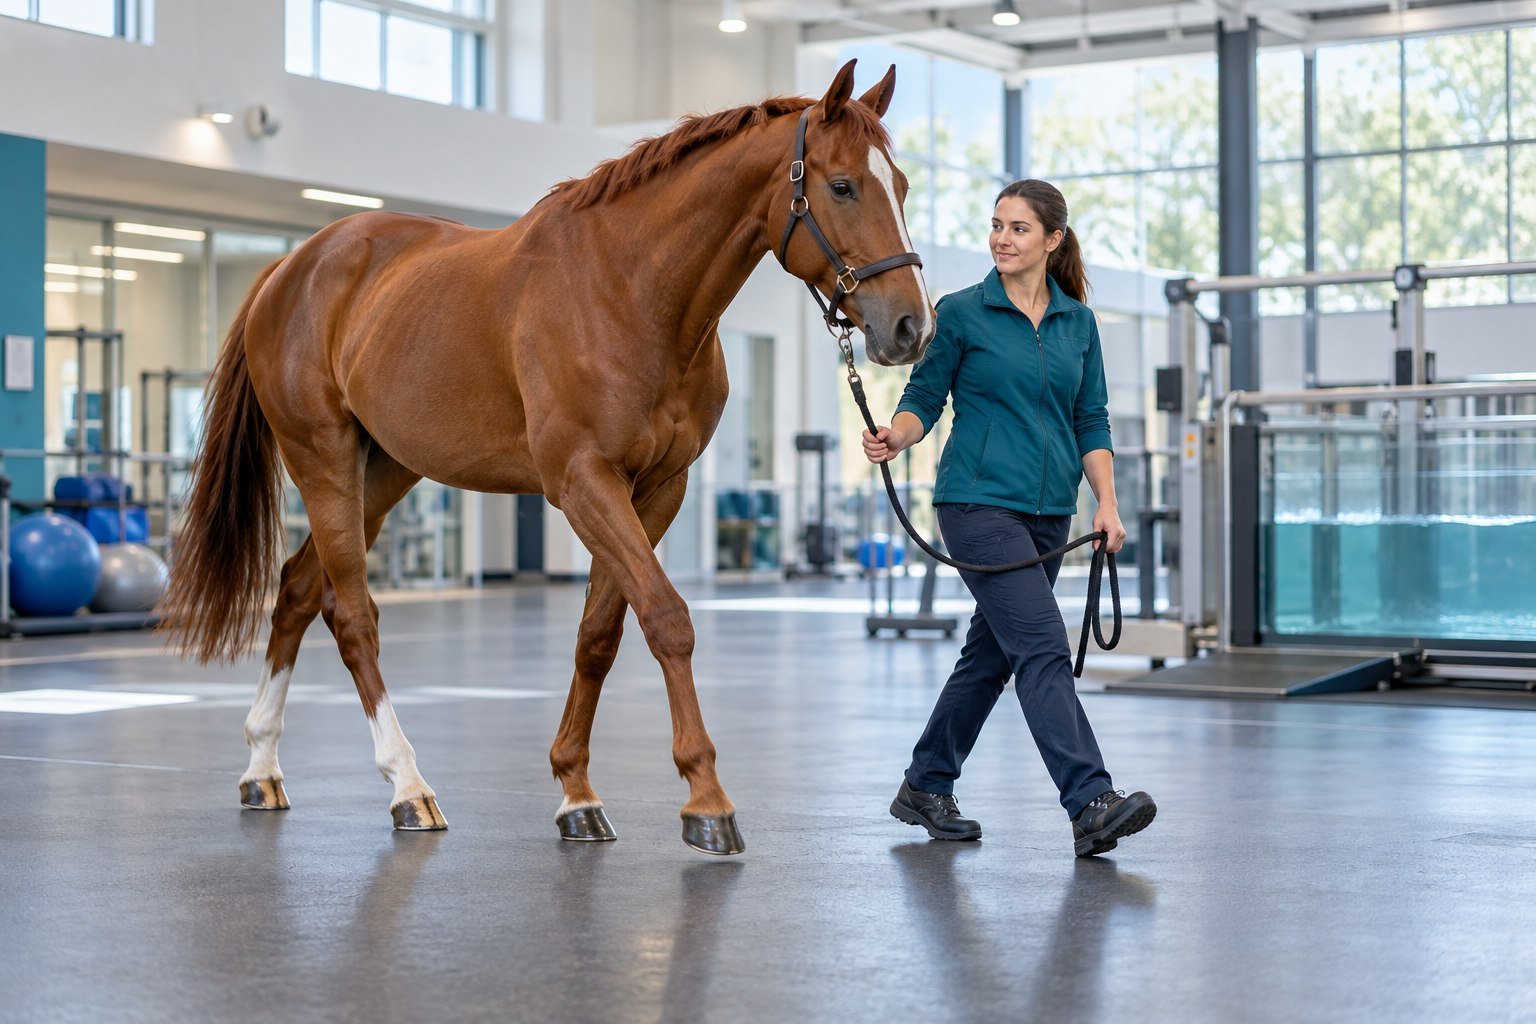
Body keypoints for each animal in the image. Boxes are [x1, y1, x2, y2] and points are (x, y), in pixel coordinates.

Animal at [157, 59, 935, 856]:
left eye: (902, 185)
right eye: (842, 186)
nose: (912, 326)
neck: (629, 290)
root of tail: (290, 267)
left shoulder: (658, 489)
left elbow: (600, 634)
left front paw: (576, 792)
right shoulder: (583, 481)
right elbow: (667, 617)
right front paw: (707, 800)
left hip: (384, 471)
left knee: (295, 589)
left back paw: (262, 767)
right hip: (324, 460)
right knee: (351, 616)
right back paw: (407, 785)